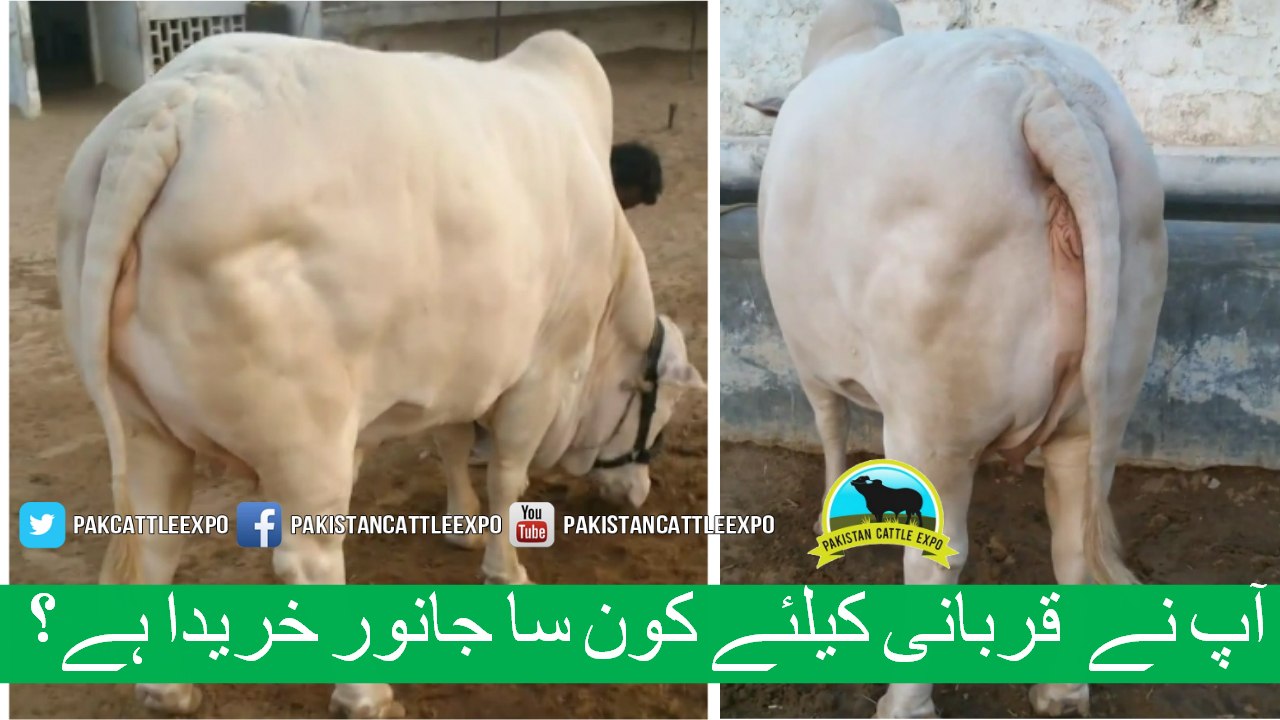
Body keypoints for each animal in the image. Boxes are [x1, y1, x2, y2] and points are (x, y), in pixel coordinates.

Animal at [56, 30, 704, 718]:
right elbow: (508, 477)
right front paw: (507, 569)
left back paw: (167, 688)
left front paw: (461, 524)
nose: (639, 492)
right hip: (307, 435)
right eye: (660, 415)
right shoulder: (541, 371)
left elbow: (451, 443)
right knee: (306, 559)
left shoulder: (462, 367)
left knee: (153, 542)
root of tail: (165, 112)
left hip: (146, 428)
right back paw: (364, 691)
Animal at [746, 0, 1167, 716]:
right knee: (1071, 540)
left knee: (937, 558)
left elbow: (830, 428)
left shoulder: (809, 356)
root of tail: (1045, 92)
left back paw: (904, 700)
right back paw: (1062, 689)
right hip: (1103, 395)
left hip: (933, 418)